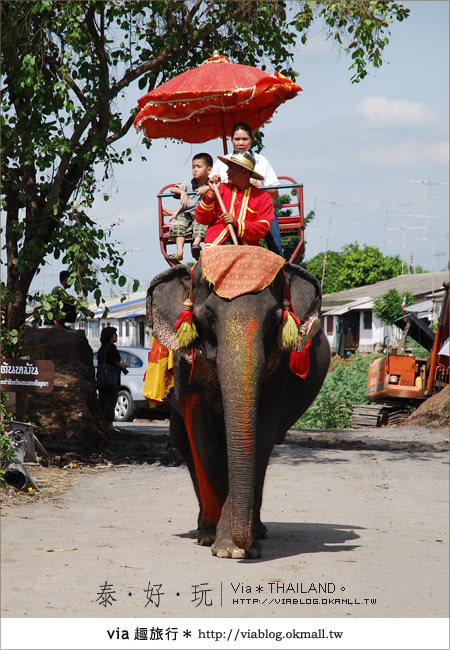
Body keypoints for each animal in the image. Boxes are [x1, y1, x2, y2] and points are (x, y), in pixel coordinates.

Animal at [148, 246, 330, 556]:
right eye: (208, 316)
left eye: (273, 319)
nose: (242, 542)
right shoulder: (188, 373)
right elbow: (205, 439)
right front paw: (219, 543)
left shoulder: (278, 371)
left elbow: (260, 434)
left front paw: (235, 548)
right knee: (183, 441)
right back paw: (205, 530)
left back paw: (256, 530)